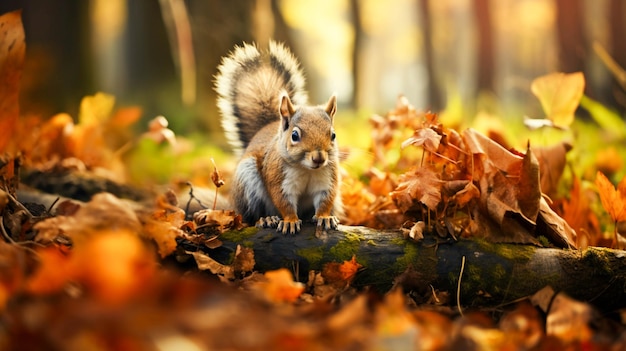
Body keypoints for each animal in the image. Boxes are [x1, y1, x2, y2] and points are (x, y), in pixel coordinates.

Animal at [214, 41, 342, 235]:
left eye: (333, 135)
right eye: (295, 135)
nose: (319, 158)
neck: (306, 169)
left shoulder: (327, 179)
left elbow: (326, 200)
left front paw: (325, 217)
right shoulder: (278, 178)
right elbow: (284, 202)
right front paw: (290, 221)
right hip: (248, 182)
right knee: (250, 217)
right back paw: (266, 219)